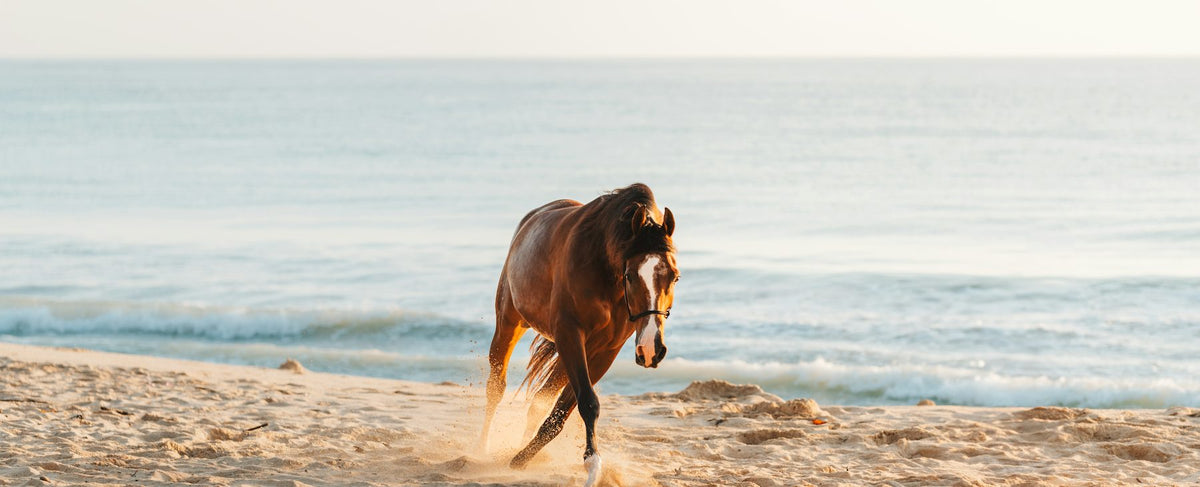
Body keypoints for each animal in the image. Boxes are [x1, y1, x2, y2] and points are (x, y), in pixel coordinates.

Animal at [479, 183, 679, 486]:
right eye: (630, 276)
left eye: (675, 277)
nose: (650, 349)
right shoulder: (570, 335)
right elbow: (588, 402)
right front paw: (593, 466)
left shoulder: (605, 350)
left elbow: (562, 410)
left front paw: (520, 459)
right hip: (509, 324)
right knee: (496, 387)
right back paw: (480, 448)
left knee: (541, 401)